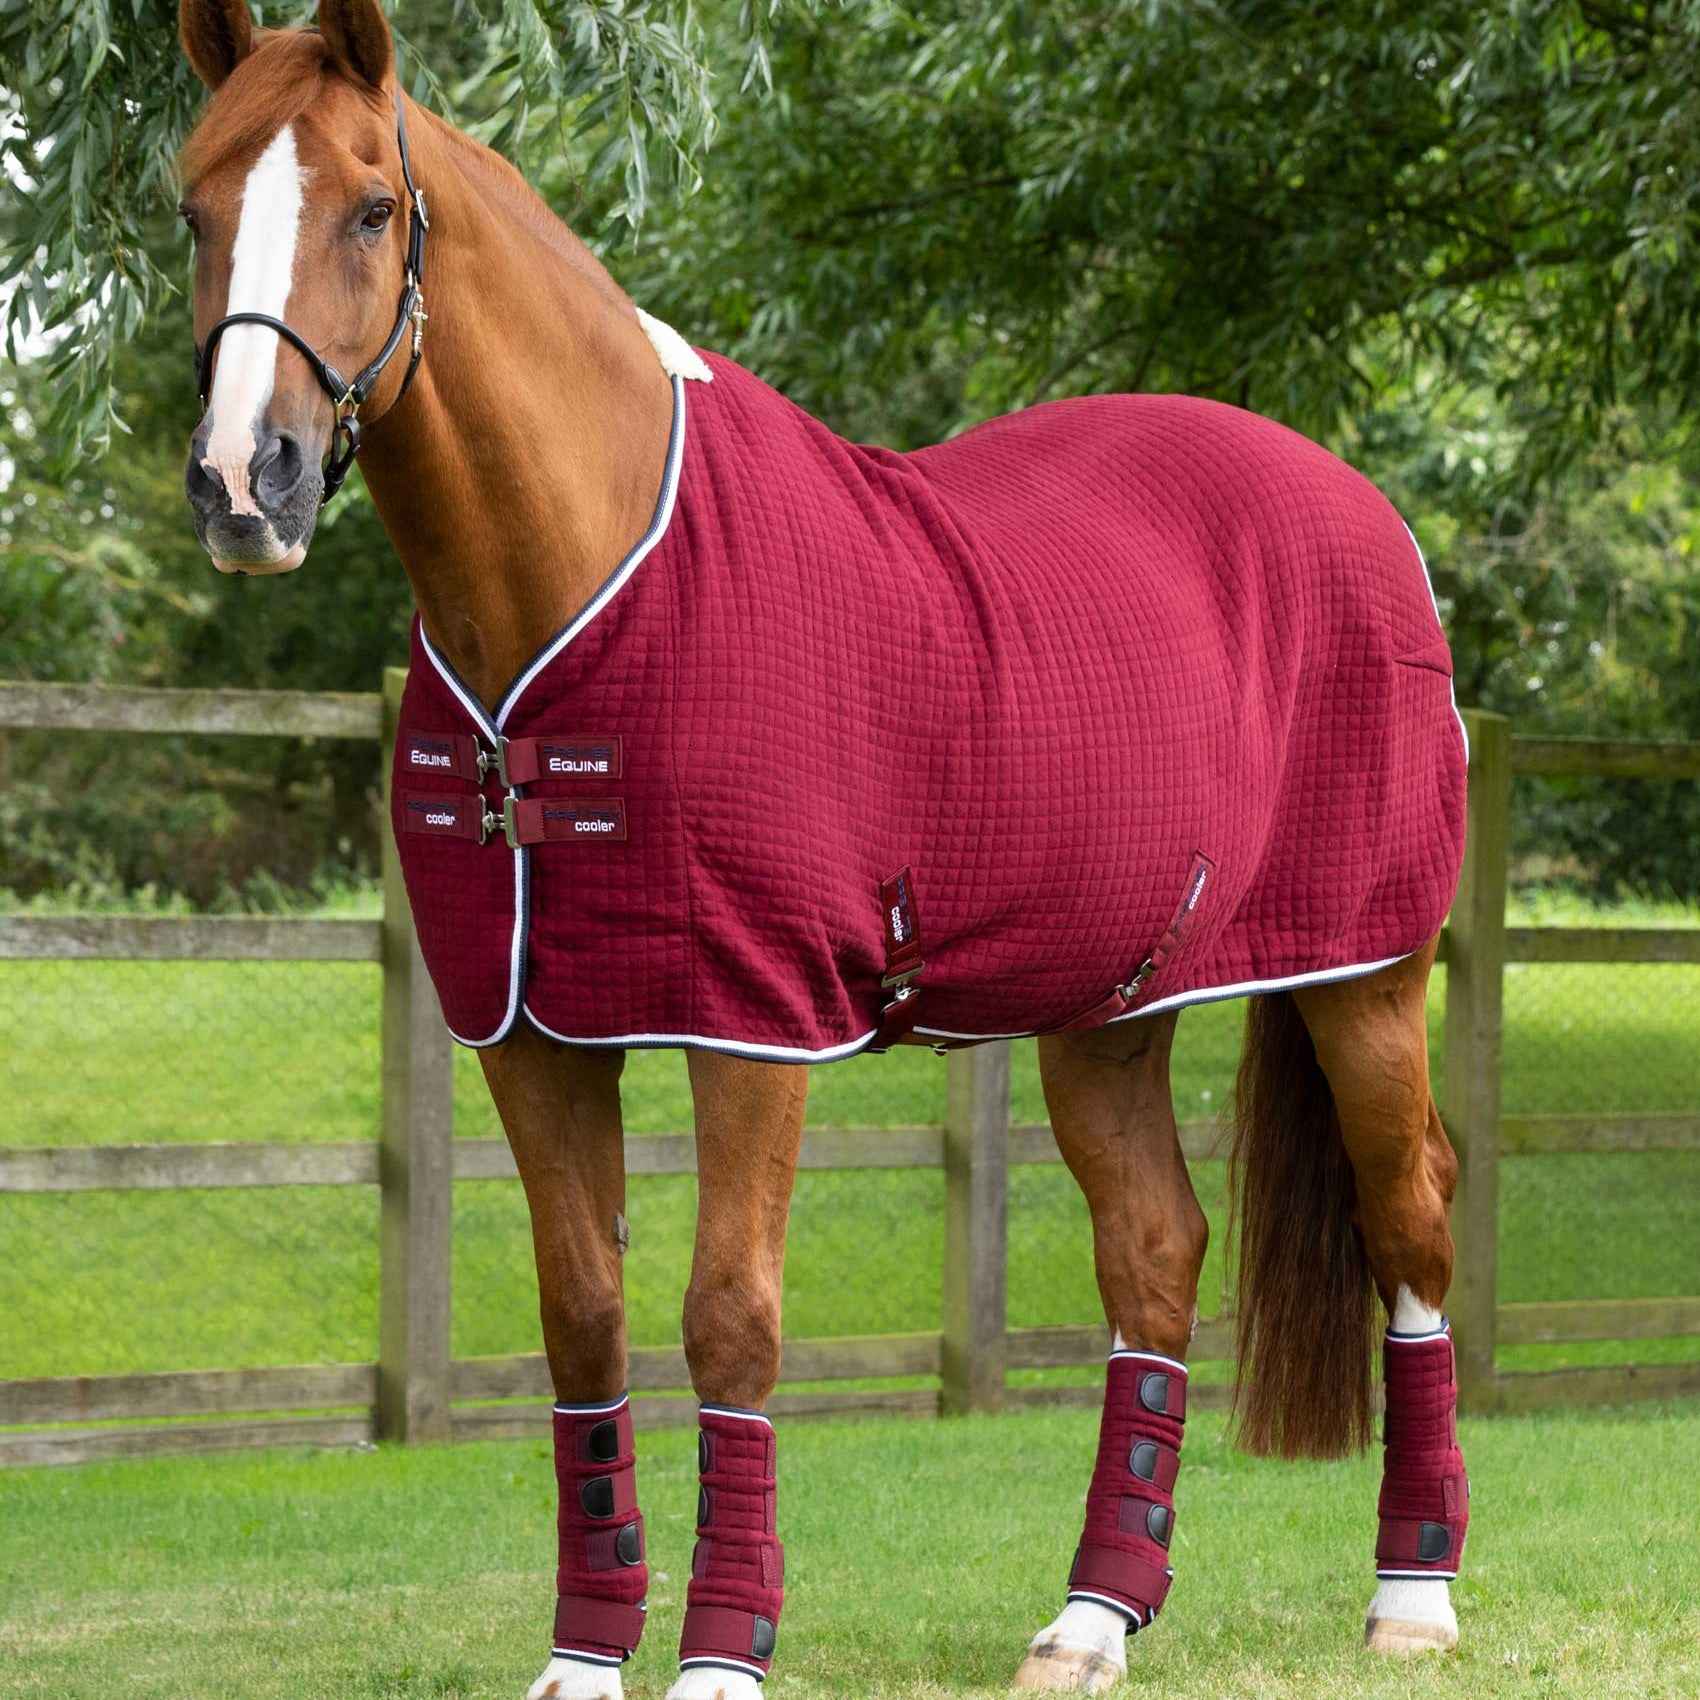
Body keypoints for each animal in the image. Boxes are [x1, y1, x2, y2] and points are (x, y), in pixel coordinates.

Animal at [173, 1, 1472, 1693]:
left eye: (372, 210)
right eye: (192, 209)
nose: (239, 485)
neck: (587, 573)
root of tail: (1362, 509)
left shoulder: (752, 1020)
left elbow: (729, 1318)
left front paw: (724, 1651)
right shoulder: (527, 1033)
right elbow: (583, 1321)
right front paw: (586, 1655)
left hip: (1362, 974)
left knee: (1413, 1219)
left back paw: (1415, 1596)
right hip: (1110, 1008)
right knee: (1155, 1249)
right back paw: (1090, 1619)